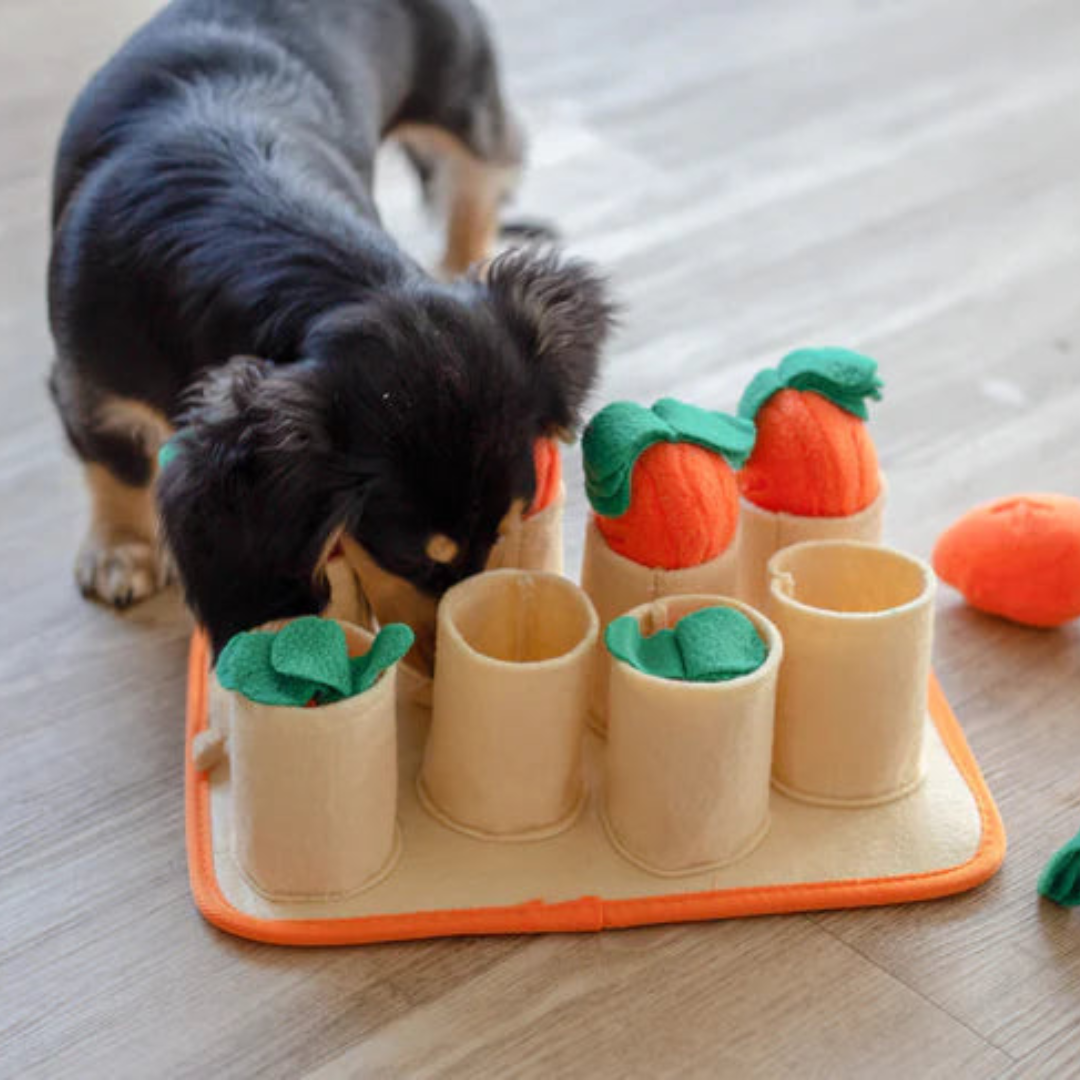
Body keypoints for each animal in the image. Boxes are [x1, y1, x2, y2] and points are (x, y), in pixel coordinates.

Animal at [50, 0, 613, 660]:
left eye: (502, 536)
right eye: (417, 561)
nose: (438, 666)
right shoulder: (90, 385)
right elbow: (115, 466)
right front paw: (123, 550)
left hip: (463, 108)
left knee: (474, 187)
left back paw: (464, 261)